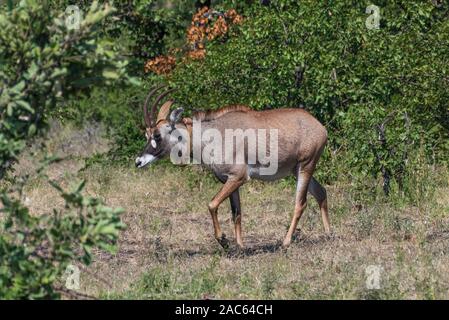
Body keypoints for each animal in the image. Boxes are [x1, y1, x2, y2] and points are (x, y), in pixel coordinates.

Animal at [135, 85, 330, 250]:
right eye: (146, 134)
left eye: (157, 135)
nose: (138, 161)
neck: (211, 136)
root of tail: (320, 127)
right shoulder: (229, 180)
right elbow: (237, 212)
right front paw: (240, 247)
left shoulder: (238, 177)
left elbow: (212, 204)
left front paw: (223, 240)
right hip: (297, 170)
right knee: (321, 192)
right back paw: (328, 234)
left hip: (305, 165)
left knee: (300, 203)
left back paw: (286, 242)